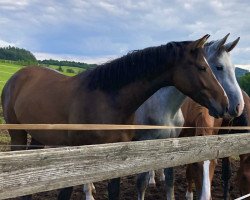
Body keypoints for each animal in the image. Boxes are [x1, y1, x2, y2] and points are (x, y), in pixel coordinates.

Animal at [0, 35, 229, 199]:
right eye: (203, 67)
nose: (225, 103)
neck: (107, 99)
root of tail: (17, 76)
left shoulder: (117, 155)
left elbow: (114, 191)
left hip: (38, 136)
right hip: (17, 134)